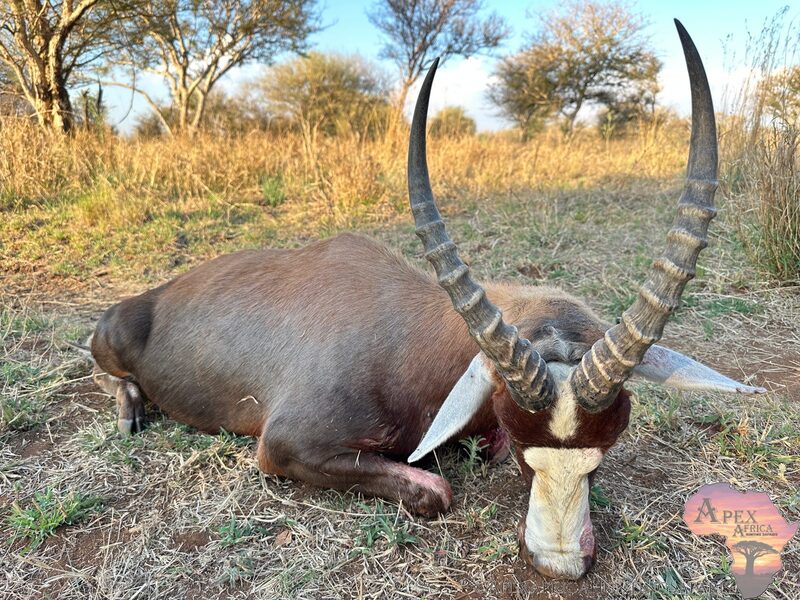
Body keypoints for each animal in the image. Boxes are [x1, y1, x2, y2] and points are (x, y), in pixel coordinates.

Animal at [90, 21, 764, 581]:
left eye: (606, 448)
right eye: (525, 442)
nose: (560, 562)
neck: (410, 339)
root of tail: (148, 299)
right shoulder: (283, 447)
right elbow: (435, 491)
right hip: (112, 341)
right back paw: (130, 411)